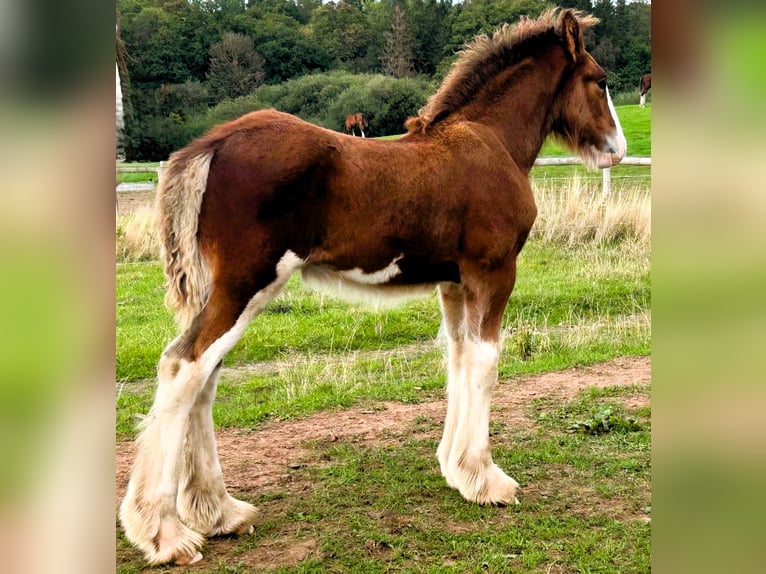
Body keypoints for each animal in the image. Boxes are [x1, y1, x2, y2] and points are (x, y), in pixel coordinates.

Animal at [120, 9, 626, 566]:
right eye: (600, 80)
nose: (617, 150)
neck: (489, 142)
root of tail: (211, 144)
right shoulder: (492, 272)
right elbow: (485, 365)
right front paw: (488, 480)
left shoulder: (454, 284)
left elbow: (458, 359)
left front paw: (456, 470)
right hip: (247, 286)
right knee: (183, 367)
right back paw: (166, 533)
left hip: (224, 293)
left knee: (203, 378)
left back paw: (220, 513)